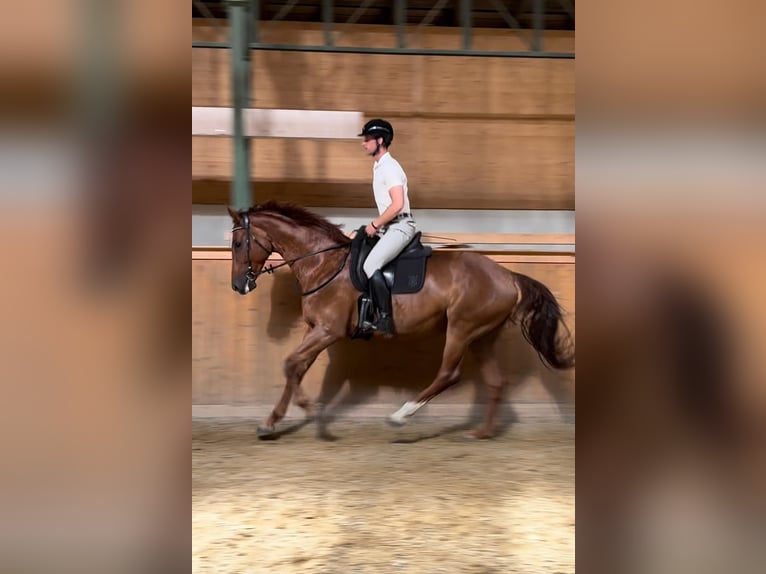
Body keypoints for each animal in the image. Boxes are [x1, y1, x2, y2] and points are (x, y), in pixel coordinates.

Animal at [228, 200, 576, 438]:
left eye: (238, 243)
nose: (239, 285)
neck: (323, 264)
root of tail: (507, 275)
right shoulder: (315, 330)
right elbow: (295, 368)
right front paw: (272, 421)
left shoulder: (328, 331)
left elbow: (290, 364)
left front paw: (309, 411)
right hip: (482, 336)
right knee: (495, 381)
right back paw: (482, 433)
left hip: (461, 329)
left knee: (448, 374)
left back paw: (400, 416)